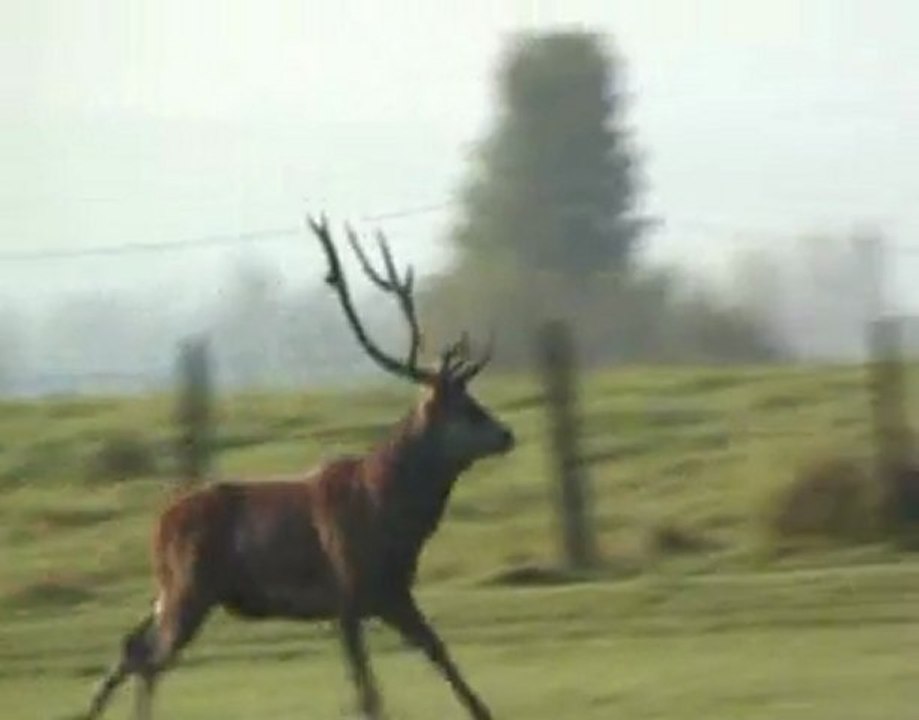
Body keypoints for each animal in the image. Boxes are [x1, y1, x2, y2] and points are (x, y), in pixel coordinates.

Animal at [82, 215, 515, 720]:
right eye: (464, 409)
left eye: (475, 400)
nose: (507, 434)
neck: (392, 519)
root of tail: (158, 523)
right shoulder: (347, 595)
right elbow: (369, 694)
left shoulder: (393, 592)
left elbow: (439, 652)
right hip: (190, 588)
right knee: (148, 658)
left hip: (170, 591)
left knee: (131, 646)